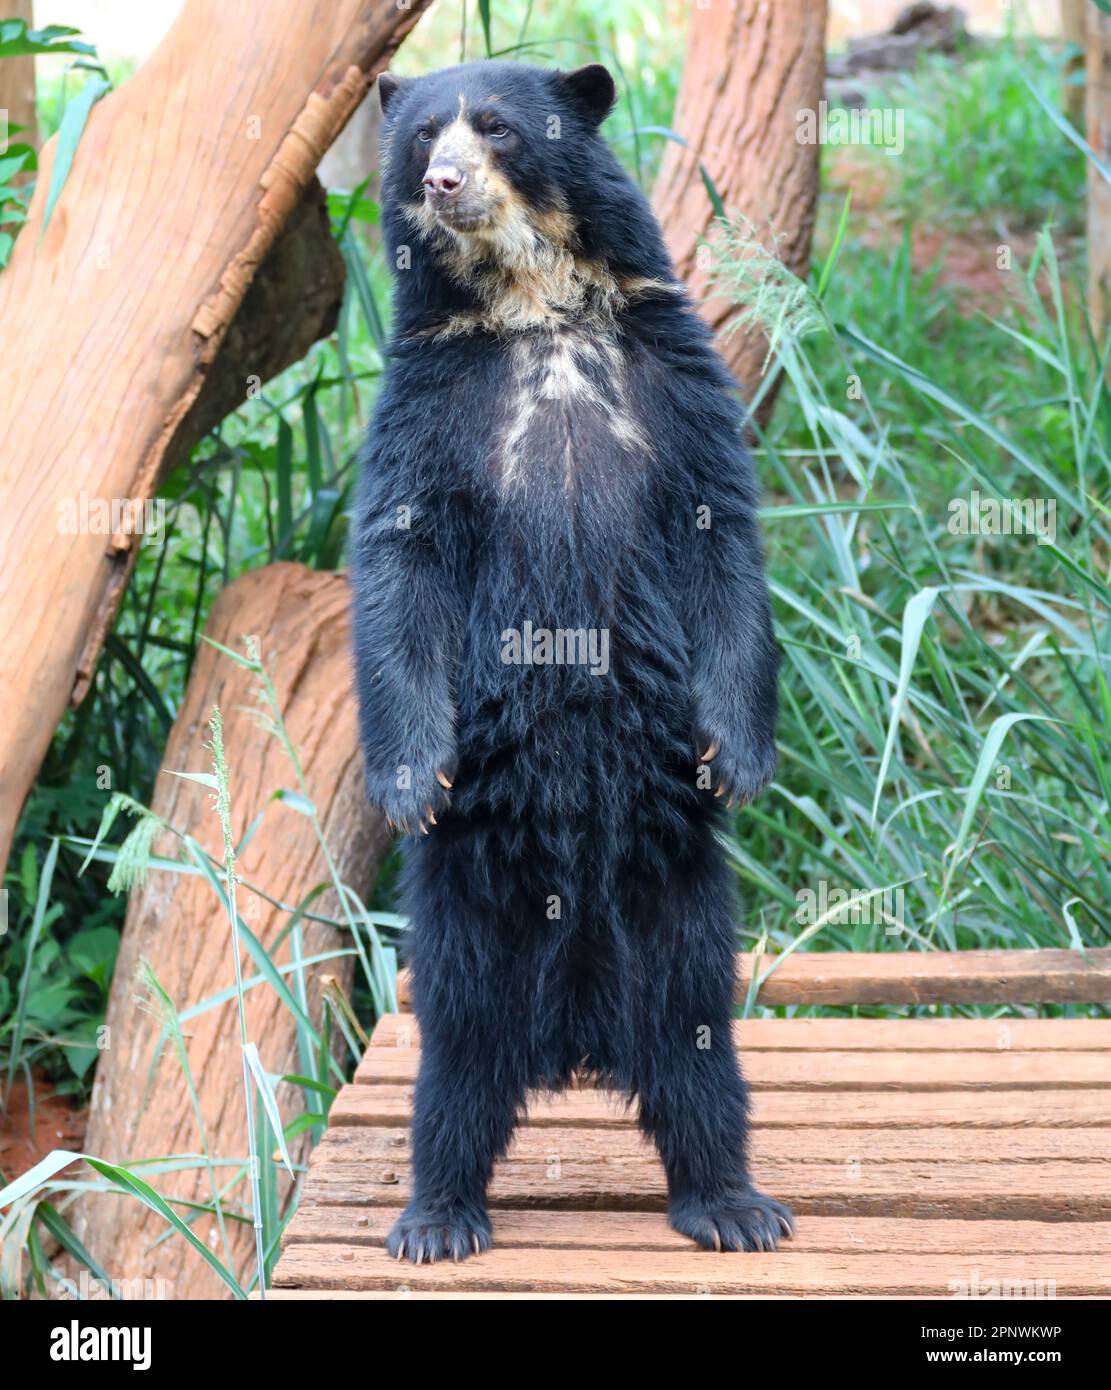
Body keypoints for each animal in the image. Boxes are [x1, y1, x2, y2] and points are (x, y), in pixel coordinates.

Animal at [351, 59, 793, 1262]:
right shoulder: (425, 406)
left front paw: (735, 757)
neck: (532, 305)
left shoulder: (673, 376)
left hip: (683, 900)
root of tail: (579, 1038)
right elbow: (399, 564)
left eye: (497, 128)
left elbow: (721, 538)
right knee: (455, 1057)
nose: (445, 182)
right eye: (422, 138)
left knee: (697, 1042)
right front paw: (410, 782)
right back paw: (436, 1216)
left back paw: (733, 1203)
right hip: (465, 909)